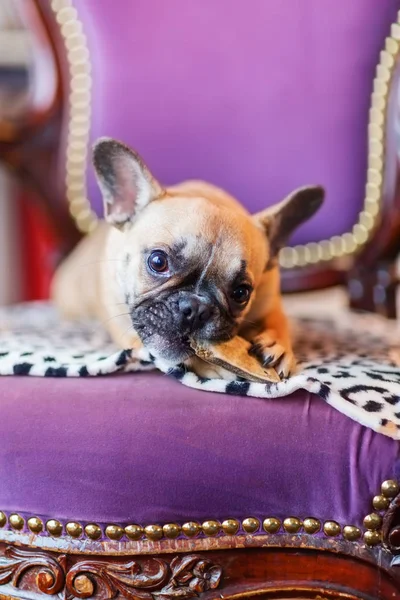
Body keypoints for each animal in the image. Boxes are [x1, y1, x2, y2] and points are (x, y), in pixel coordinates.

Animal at [51, 138, 324, 378]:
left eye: (241, 293)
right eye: (158, 262)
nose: (195, 307)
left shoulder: (270, 298)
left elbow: (279, 319)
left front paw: (278, 344)